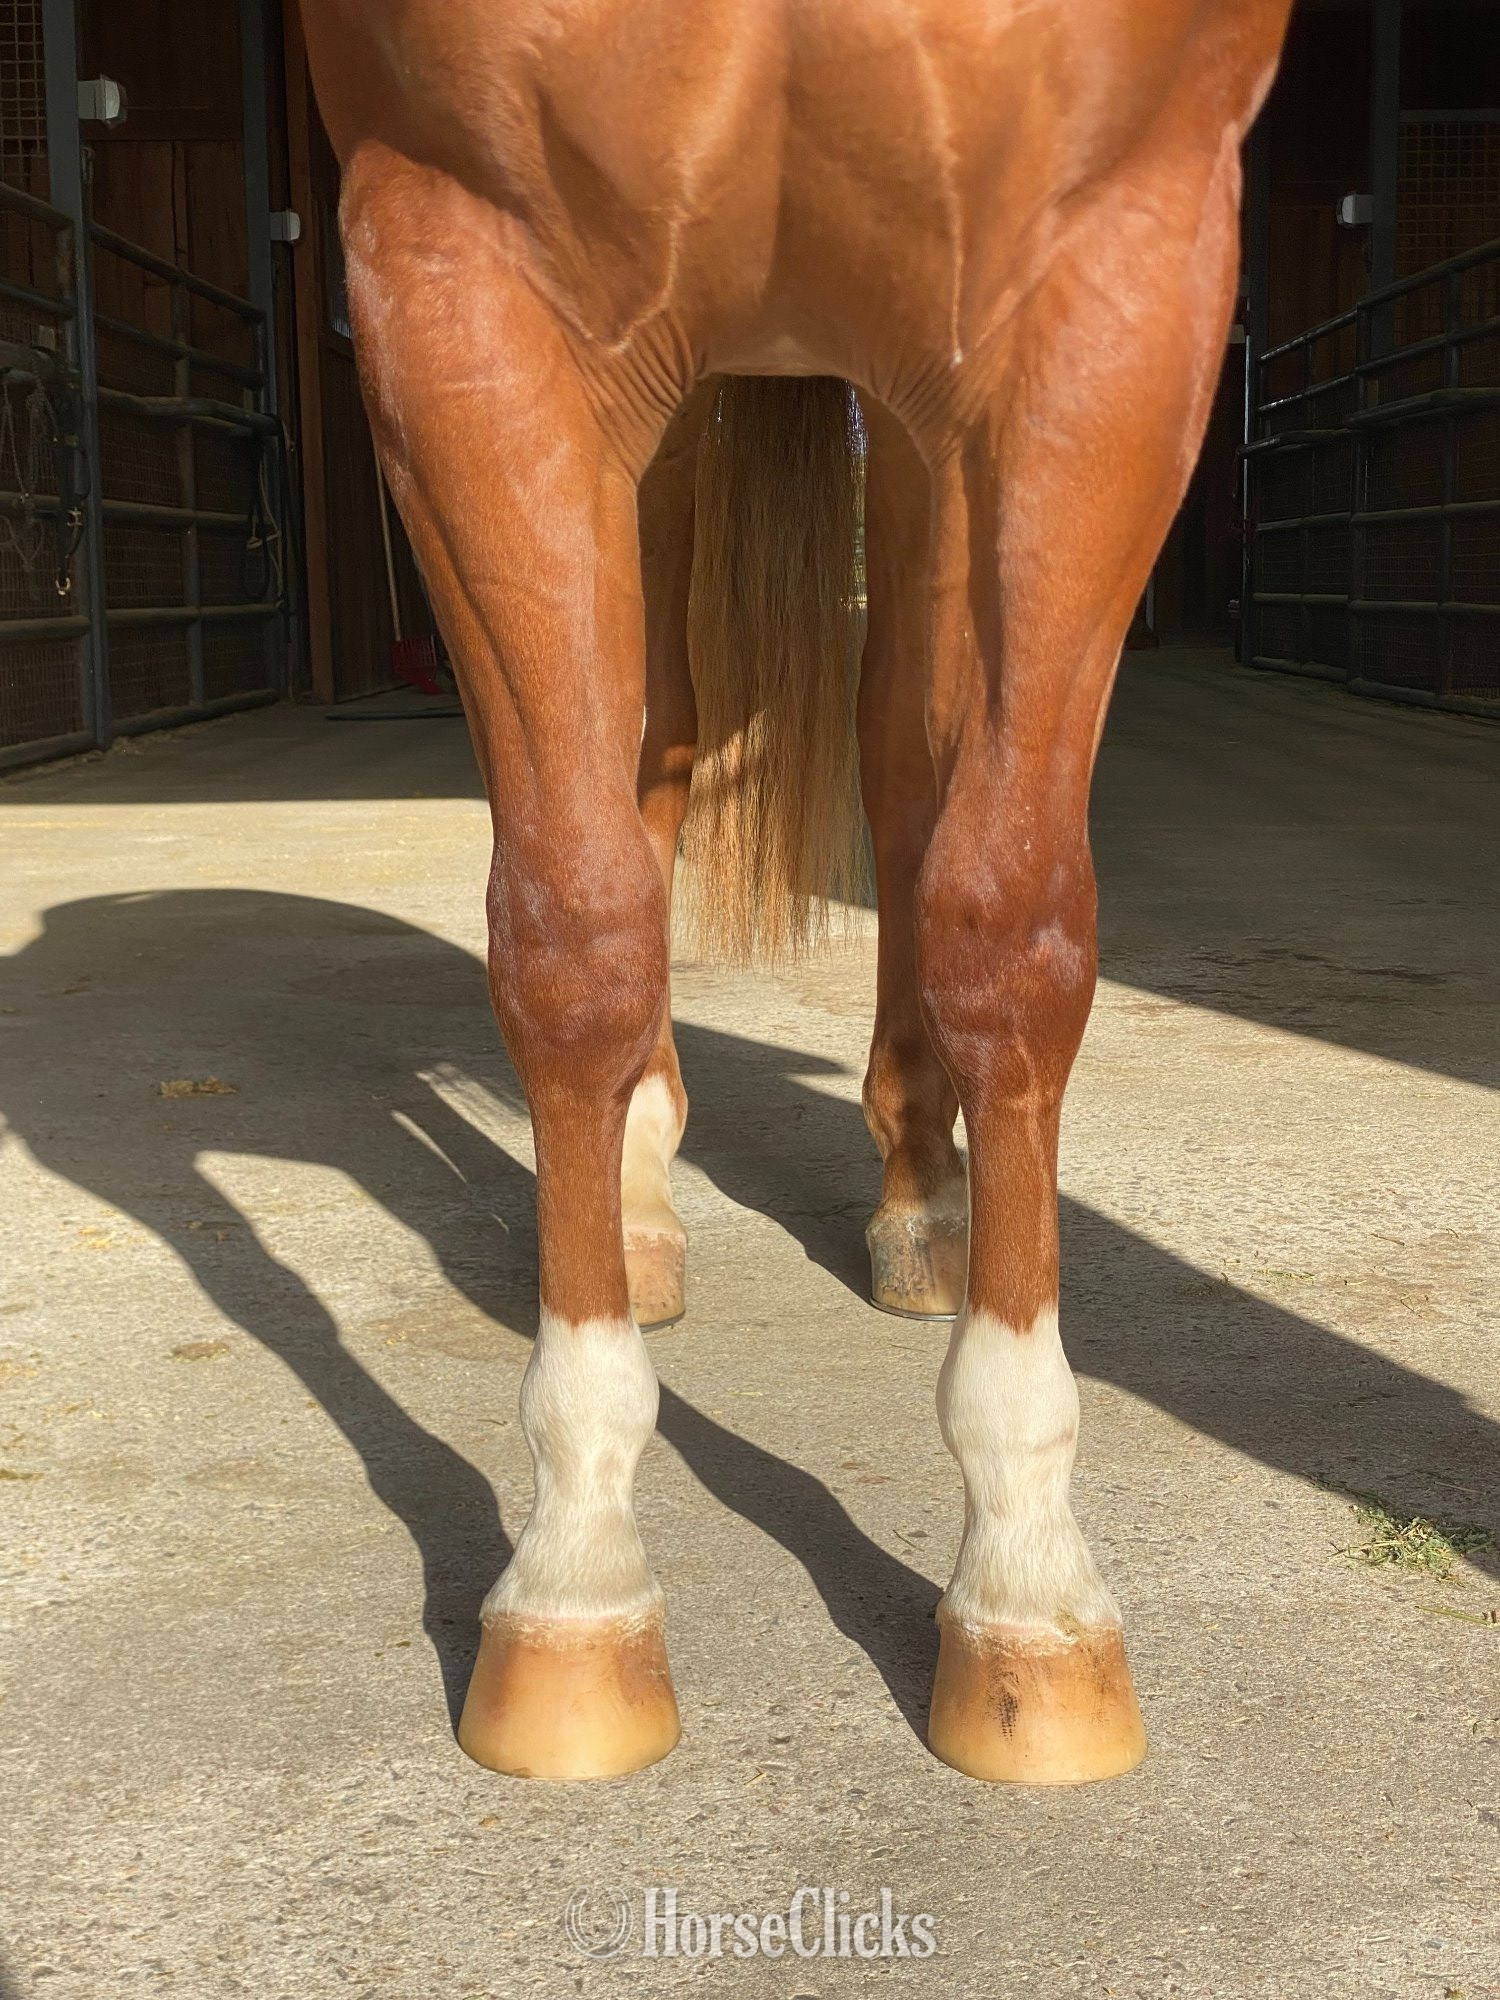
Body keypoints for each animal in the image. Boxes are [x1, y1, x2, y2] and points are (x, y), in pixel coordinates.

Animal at [299, 0, 1293, 1785]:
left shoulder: (1122, 272)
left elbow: (1011, 925)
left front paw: (1029, 1590)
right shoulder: (453, 272)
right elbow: (572, 930)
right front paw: (574, 1582)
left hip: (914, 416)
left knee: (907, 755)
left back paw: (925, 1201)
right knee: (651, 747)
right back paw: (637, 1198)